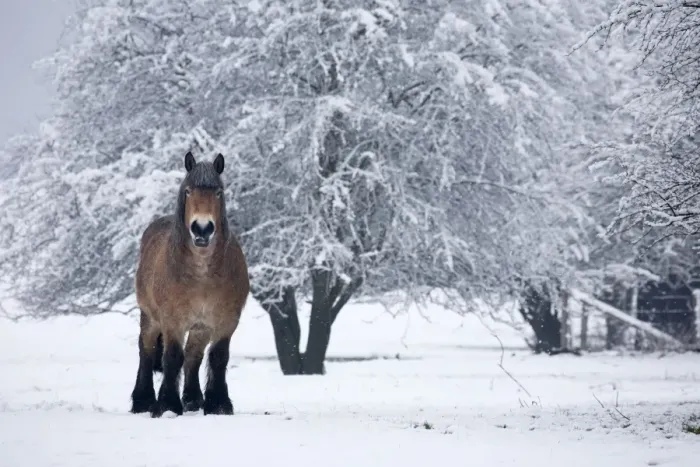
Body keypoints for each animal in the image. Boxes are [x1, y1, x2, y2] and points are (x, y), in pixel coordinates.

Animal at [129, 151, 249, 418]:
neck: (201, 274)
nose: (202, 229)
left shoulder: (226, 321)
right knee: (146, 351)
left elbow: (218, 357)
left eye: (218, 192)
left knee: (194, 355)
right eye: (188, 191)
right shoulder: (172, 320)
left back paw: (193, 400)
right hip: (150, 317)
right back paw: (143, 401)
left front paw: (218, 404)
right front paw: (166, 405)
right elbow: (172, 357)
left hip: (200, 327)